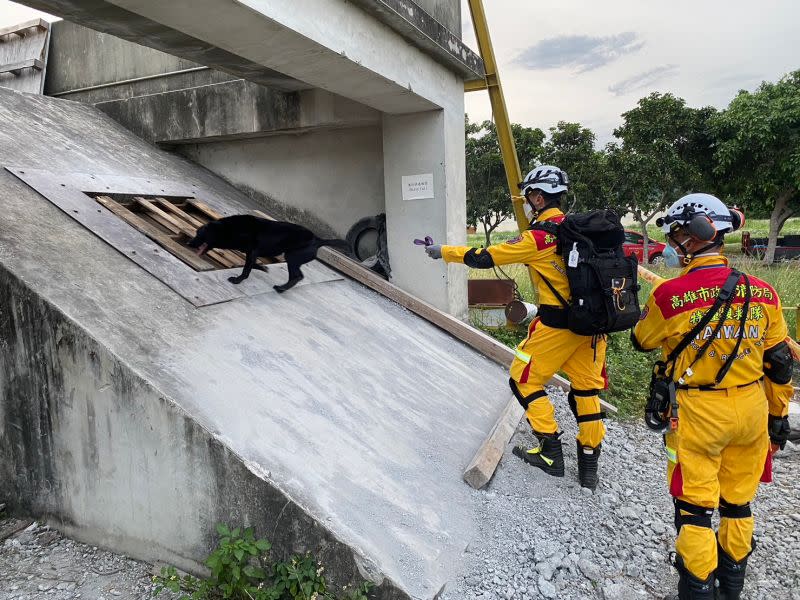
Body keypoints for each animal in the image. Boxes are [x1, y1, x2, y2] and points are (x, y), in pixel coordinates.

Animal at [189, 216, 348, 292]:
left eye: (199, 234)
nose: (189, 243)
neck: (230, 229)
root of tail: (317, 240)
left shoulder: (252, 252)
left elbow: (246, 269)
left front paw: (237, 280)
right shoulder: (251, 254)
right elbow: (252, 265)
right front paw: (262, 268)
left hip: (292, 257)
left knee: (297, 276)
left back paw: (282, 288)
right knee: (298, 276)